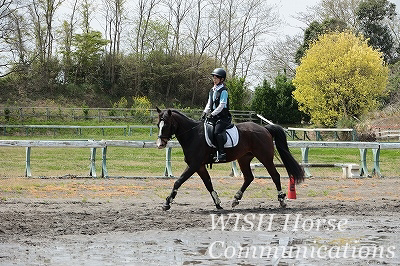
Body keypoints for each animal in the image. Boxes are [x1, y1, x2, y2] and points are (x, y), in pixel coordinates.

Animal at [156, 107, 304, 210]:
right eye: (158, 125)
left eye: (167, 125)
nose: (160, 144)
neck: (192, 135)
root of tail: (264, 129)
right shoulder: (200, 166)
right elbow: (208, 183)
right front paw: (218, 203)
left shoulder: (194, 165)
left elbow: (178, 181)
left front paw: (167, 203)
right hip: (244, 159)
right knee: (249, 177)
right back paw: (236, 199)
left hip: (265, 158)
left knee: (275, 176)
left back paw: (282, 200)